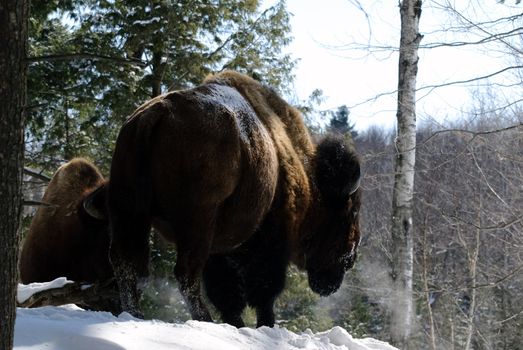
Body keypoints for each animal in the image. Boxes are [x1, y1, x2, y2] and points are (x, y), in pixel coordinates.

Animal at [104, 69, 362, 326]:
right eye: (351, 212)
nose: (350, 259)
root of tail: (155, 113)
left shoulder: (223, 248)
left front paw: (236, 323)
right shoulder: (270, 241)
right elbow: (263, 291)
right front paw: (263, 323)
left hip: (130, 210)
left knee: (126, 263)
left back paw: (135, 314)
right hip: (197, 222)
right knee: (185, 272)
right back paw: (204, 319)